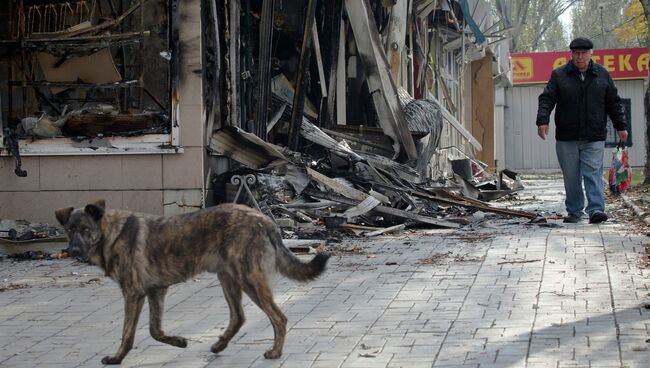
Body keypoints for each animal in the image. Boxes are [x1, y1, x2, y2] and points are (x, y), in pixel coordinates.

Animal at [54, 201, 330, 366]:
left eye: (86, 229)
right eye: (69, 230)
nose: (74, 251)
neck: (111, 233)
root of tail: (265, 220)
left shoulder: (133, 294)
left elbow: (128, 333)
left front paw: (117, 357)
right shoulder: (156, 291)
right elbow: (154, 330)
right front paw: (178, 341)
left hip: (248, 279)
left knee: (278, 317)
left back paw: (275, 352)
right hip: (228, 278)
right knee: (239, 316)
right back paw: (220, 344)